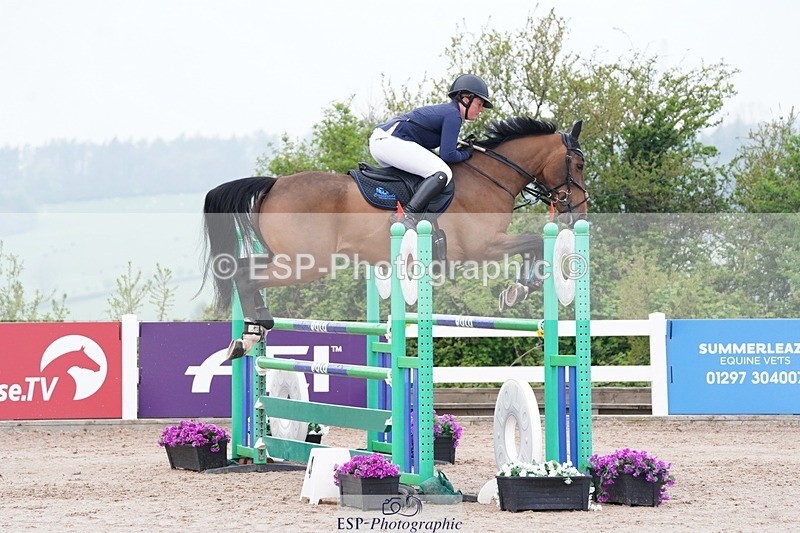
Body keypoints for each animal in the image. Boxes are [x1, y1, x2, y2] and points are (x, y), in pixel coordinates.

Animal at [201, 117, 588, 343]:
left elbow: (532, 245)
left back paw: (253, 330)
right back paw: (253, 333)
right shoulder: (482, 246)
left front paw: (520, 288)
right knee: (248, 277)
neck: (490, 177)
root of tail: (274, 184)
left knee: (242, 270)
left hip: (282, 256)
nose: (578, 211)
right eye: (580, 164)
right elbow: (533, 241)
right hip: (305, 263)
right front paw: (520, 289)